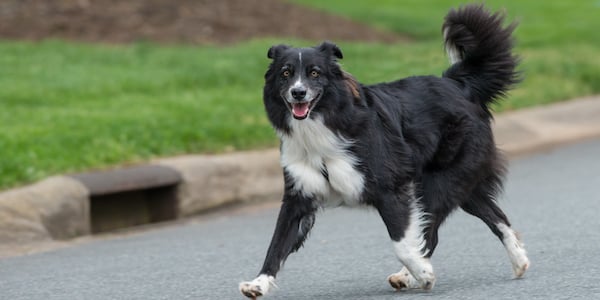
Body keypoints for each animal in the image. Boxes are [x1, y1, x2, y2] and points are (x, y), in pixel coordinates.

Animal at [239, 4, 528, 298]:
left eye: (315, 73)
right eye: (286, 73)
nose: (298, 93)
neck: (323, 124)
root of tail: (457, 84)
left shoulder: (391, 189)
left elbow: (402, 243)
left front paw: (423, 274)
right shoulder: (299, 195)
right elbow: (276, 244)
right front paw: (258, 283)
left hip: (439, 182)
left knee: (432, 232)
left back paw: (412, 274)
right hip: (459, 184)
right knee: (495, 216)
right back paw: (519, 261)